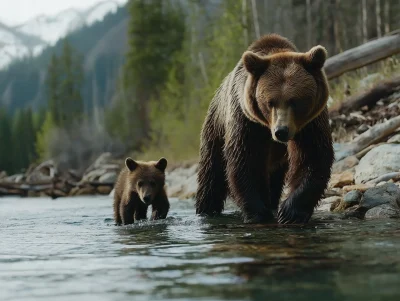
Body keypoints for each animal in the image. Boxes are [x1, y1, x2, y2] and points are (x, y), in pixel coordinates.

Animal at [195, 34, 332, 224]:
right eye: (270, 102)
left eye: (295, 101)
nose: (281, 131)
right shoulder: (247, 121)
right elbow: (246, 160)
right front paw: (259, 212)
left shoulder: (310, 122)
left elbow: (312, 156)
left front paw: (290, 212)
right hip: (216, 129)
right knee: (211, 174)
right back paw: (206, 210)